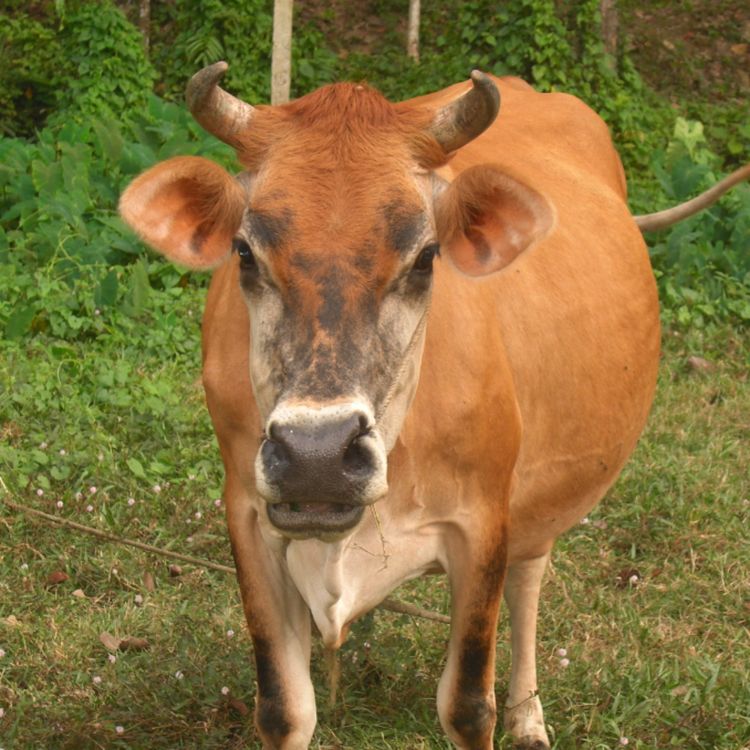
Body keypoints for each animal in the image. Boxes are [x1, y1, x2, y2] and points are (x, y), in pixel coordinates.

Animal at [119, 63, 748, 749]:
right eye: (243, 252)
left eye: (424, 257)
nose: (317, 457)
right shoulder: (249, 518)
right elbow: (284, 708)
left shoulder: (482, 525)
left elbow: (469, 705)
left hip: (538, 500)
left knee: (529, 582)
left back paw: (529, 715)